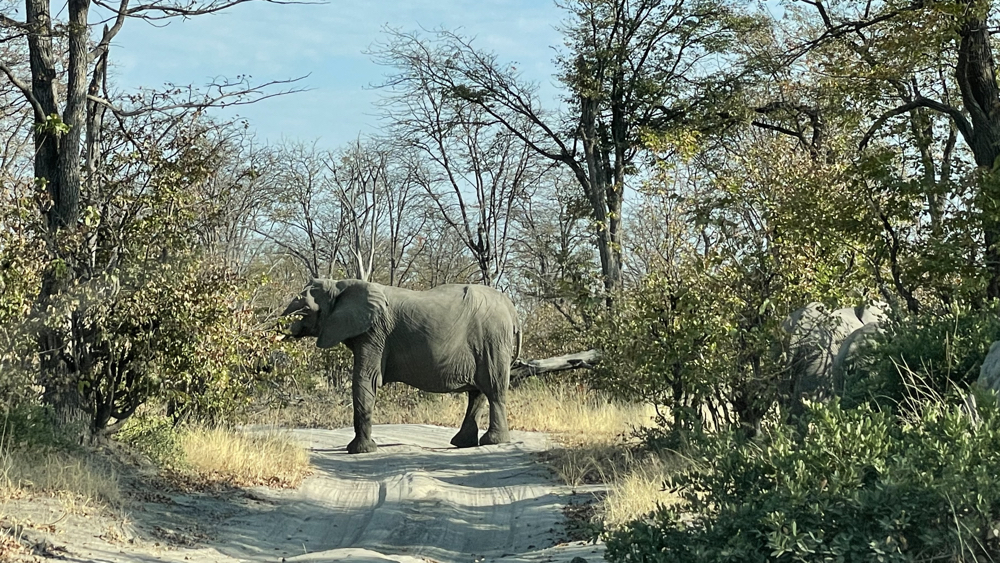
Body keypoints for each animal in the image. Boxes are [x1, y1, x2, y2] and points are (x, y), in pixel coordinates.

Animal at [281, 279, 521, 454]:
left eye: (306, 308)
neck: (340, 286)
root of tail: (512, 308)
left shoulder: (374, 332)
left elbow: (365, 380)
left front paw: (361, 451)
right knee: (477, 393)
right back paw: (463, 443)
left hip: (493, 339)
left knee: (493, 389)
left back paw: (492, 442)